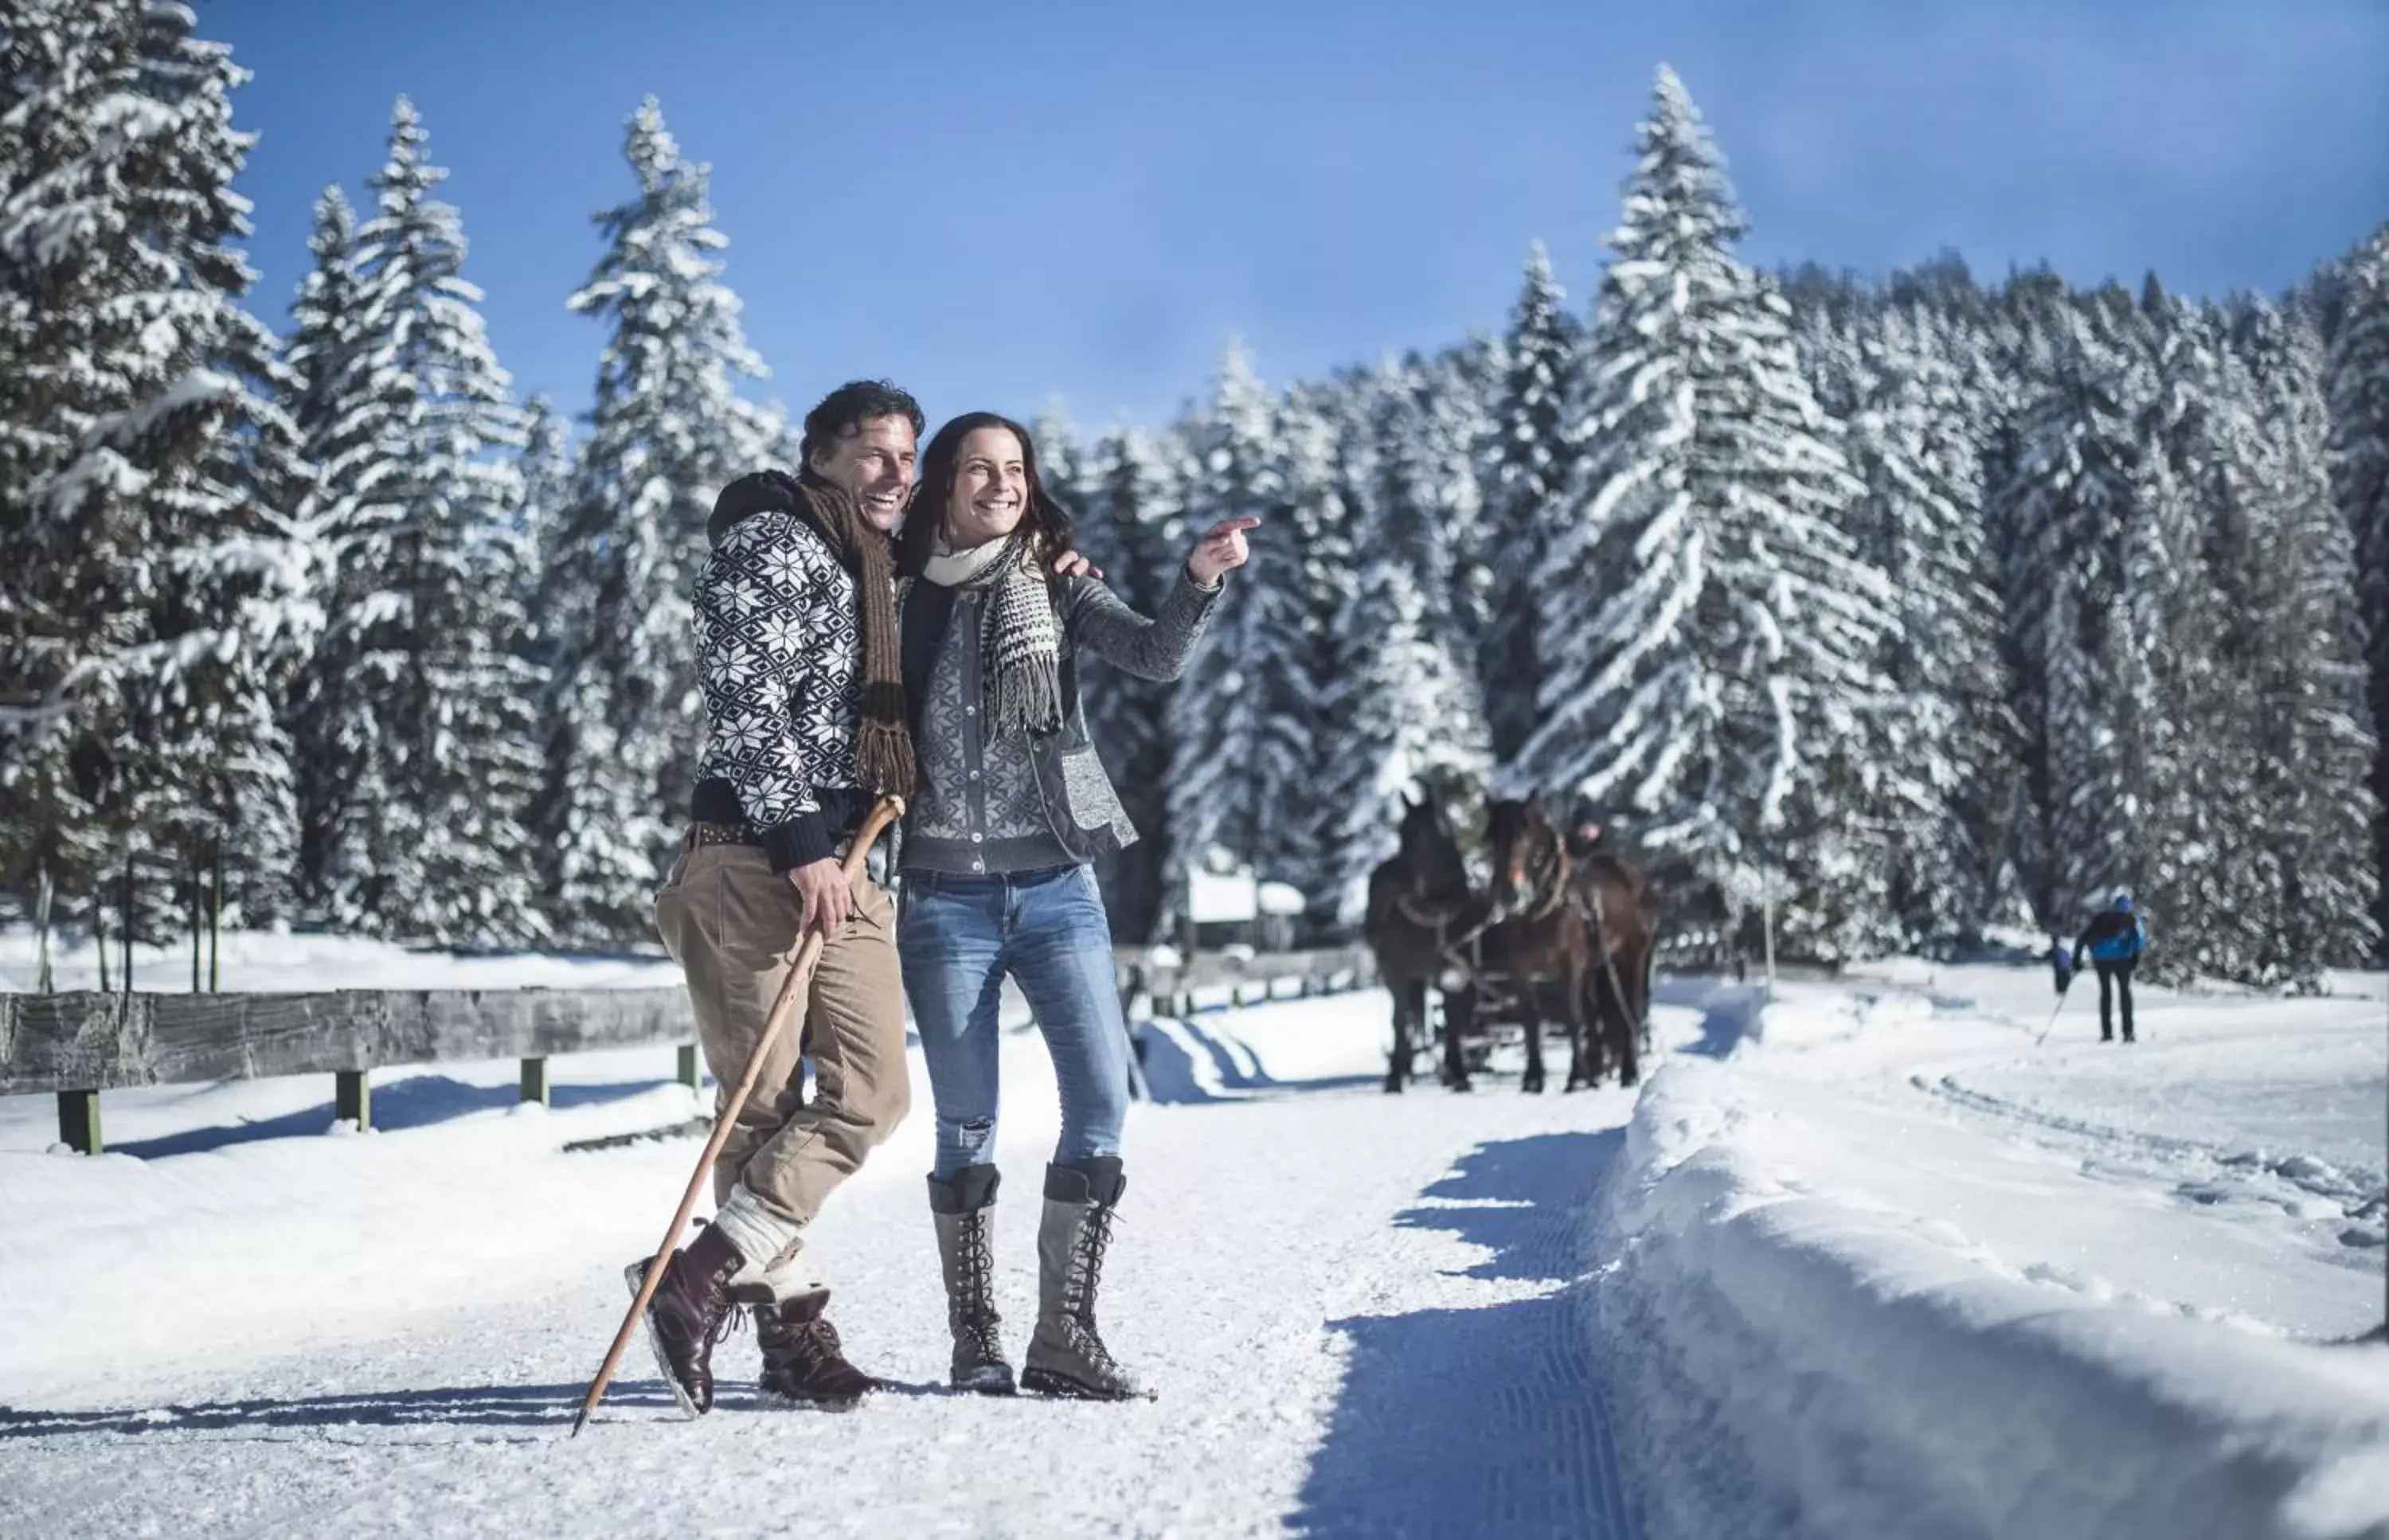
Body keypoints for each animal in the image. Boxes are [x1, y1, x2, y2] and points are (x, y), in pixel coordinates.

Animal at [1376, 792, 1481, 1093]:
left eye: (1423, 835)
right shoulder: (1396, 973)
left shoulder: (1453, 971)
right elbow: (1400, 1021)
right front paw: (1395, 1078)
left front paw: (1458, 1074)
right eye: (1400, 832)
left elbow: (1451, 1018)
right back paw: (1402, 1071)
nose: (1397, 881)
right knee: (1405, 1019)